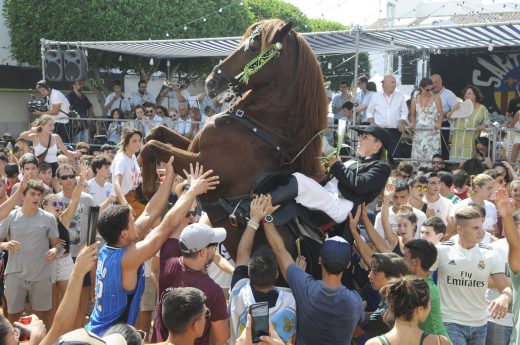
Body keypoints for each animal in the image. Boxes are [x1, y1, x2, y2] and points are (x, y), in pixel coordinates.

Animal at [140, 18, 328, 260]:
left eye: (255, 44)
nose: (211, 82)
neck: (259, 127)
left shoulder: (206, 167)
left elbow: (152, 147)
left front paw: (149, 188)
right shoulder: (193, 147)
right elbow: (157, 133)